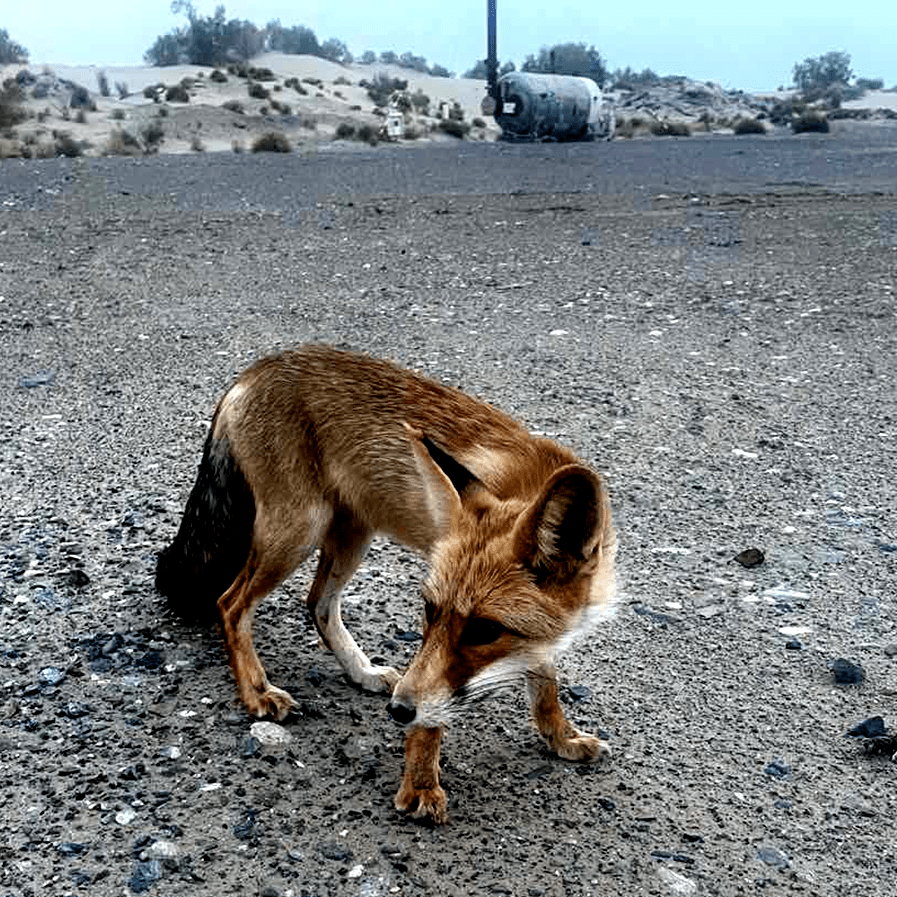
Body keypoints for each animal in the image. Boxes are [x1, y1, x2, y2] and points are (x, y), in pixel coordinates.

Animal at [156, 344, 616, 824]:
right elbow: (434, 709)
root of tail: (257, 368)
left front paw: (561, 738)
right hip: (299, 530)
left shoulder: (542, 635)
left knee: (317, 604)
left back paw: (362, 672)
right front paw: (421, 784)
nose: (397, 711)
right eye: (429, 611)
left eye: (485, 630)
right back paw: (257, 691)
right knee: (229, 604)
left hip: (352, 532)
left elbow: (545, 688)